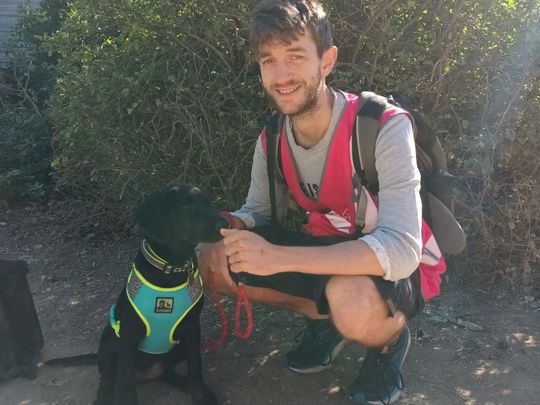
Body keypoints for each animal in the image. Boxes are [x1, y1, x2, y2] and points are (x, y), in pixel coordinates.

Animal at [94, 184, 225, 404]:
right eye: (186, 207)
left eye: (207, 202)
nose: (225, 223)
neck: (172, 269)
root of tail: (147, 374)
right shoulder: (127, 335)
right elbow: (124, 380)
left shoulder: (192, 329)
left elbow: (196, 366)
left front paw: (200, 395)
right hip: (110, 341)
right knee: (108, 378)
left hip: (178, 345)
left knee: (167, 372)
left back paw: (184, 383)